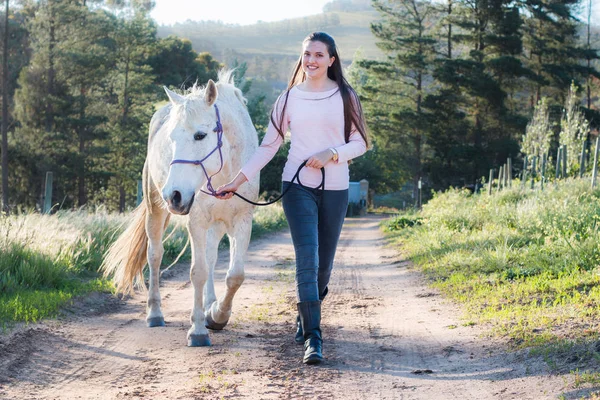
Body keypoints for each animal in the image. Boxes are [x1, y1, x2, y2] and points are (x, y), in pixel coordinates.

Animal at [101, 71, 260, 346]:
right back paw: (155, 314)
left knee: (211, 257)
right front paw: (198, 330)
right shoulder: (196, 221)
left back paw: (209, 305)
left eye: (200, 135)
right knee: (155, 255)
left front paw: (217, 315)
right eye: (172, 138)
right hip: (155, 210)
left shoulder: (242, 220)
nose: (173, 196)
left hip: (216, 224)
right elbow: (198, 272)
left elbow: (235, 275)